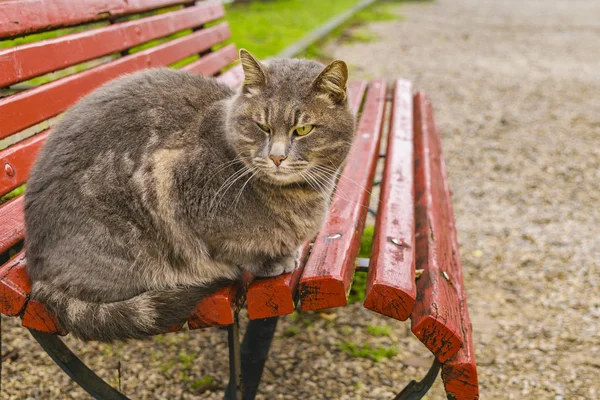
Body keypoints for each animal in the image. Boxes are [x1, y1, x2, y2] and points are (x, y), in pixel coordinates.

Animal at [24, 47, 356, 340]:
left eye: (304, 130)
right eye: (261, 126)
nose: (276, 157)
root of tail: (35, 274)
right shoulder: (183, 192)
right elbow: (237, 251)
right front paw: (270, 261)